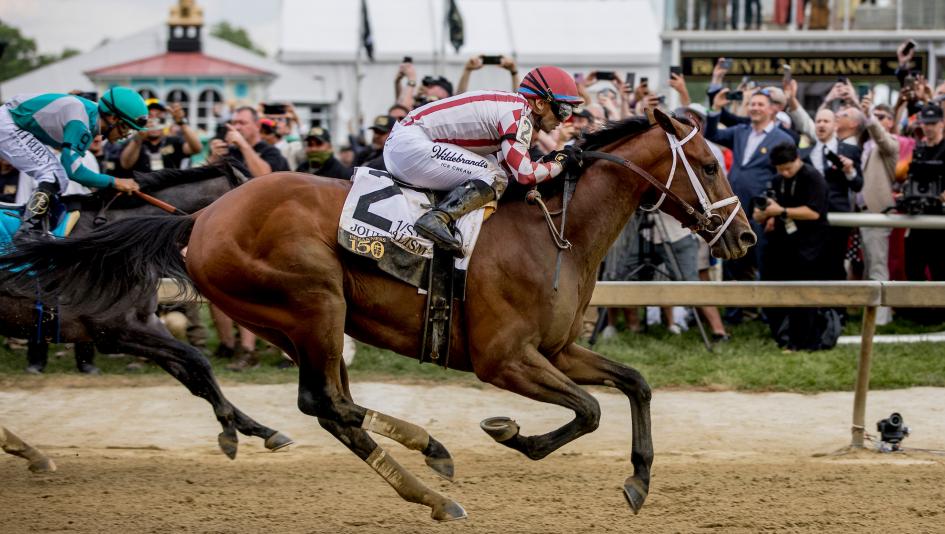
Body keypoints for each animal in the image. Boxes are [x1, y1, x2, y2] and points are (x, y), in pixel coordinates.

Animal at [0, 161, 293, 458]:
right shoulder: (117, 331)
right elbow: (198, 360)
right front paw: (230, 431)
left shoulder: (144, 324)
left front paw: (263, 431)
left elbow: (194, 377)